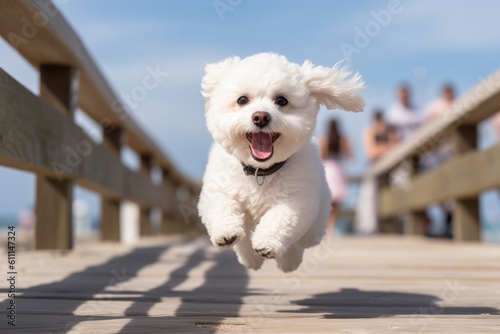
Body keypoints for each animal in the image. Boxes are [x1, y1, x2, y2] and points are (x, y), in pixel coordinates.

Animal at [195, 51, 364, 272]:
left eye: (281, 100)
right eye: (242, 100)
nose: (260, 117)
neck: (260, 172)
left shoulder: (297, 201)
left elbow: (280, 219)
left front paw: (266, 243)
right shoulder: (218, 190)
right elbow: (222, 206)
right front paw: (227, 233)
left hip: (315, 225)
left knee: (300, 242)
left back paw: (288, 262)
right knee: (245, 241)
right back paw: (250, 259)